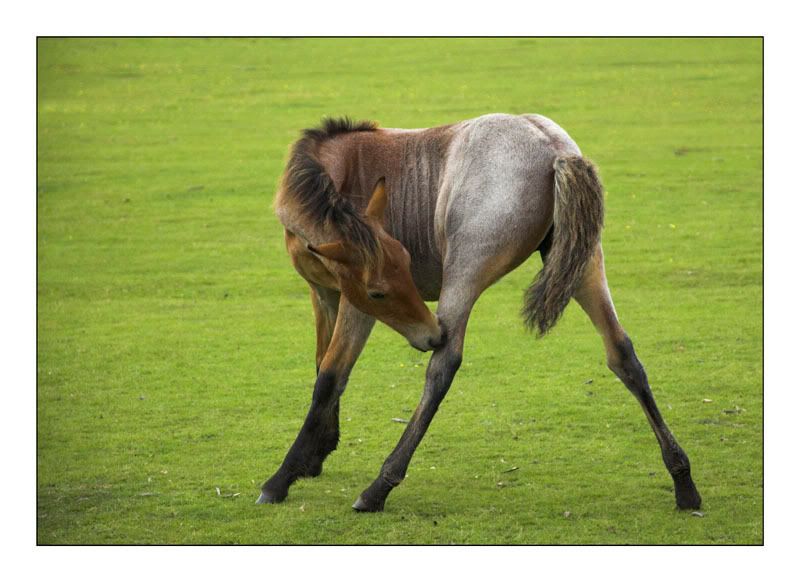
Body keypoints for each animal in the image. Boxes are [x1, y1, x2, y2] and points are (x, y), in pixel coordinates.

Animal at [258, 115, 700, 516]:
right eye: (393, 270)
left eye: (380, 289)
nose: (429, 333)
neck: (336, 170)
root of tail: (551, 147)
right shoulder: (324, 294)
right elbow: (323, 367)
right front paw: (316, 454)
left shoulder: (355, 304)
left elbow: (331, 376)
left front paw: (282, 477)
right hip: (584, 264)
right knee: (622, 354)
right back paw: (683, 481)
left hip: (464, 271)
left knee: (443, 367)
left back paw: (378, 487)